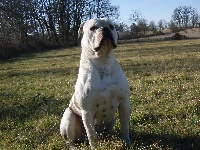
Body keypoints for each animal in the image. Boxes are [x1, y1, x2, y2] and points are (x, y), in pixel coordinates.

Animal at [60, 18, 130, 148]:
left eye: (111, 26)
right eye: (93, 28)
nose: (105, 29)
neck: (103, 61)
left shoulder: (124, 103)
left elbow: (125, 126)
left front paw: (127, 142)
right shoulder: (87, 112)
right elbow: (92, 135)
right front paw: (95, 147)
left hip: (112, 119)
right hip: (68, 118)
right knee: (71, 141)